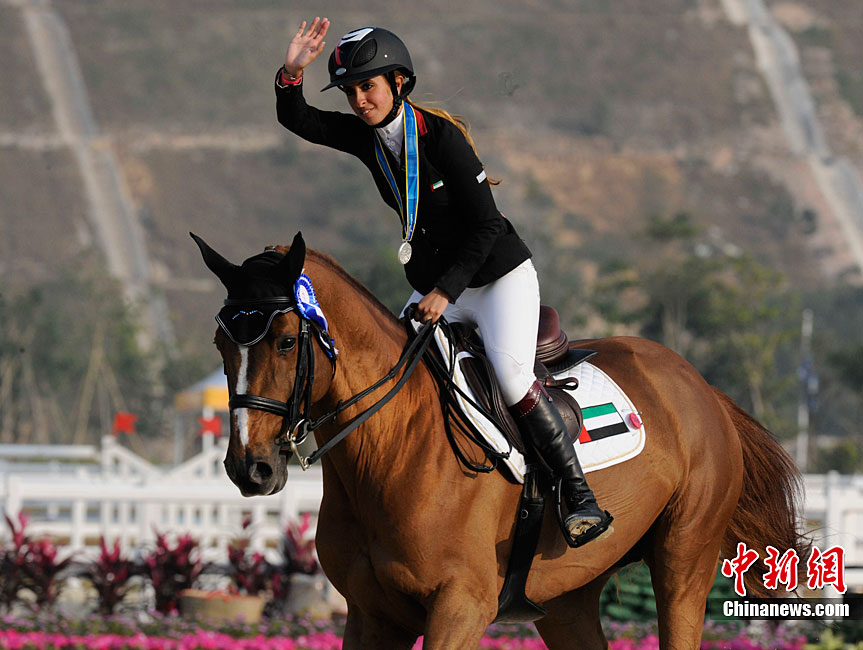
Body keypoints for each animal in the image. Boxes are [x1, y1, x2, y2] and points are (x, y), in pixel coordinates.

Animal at [193, 232, 805, 650]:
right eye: (221, 345)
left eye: (286, 341)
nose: (250, 469)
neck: (390, 451)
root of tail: (700, 386)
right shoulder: (372, 615)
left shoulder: (460, 606)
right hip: (565, 600)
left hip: (683, 561)